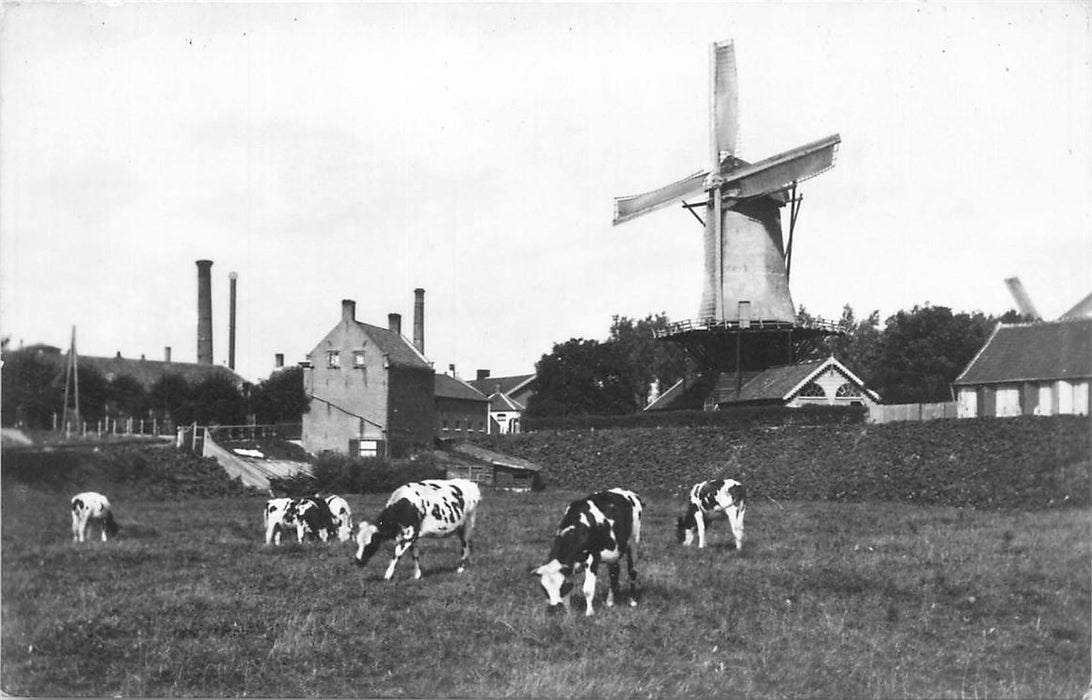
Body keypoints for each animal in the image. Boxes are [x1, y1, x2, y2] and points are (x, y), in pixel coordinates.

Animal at [353, 478, 482, 580]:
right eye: (358, 543)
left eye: (371, 544)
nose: (357, 561)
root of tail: (470, 483)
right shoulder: (412, 536)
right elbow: (415, 554)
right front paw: (417, 575)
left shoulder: (410, 534)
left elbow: (397, 553)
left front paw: (388, 575)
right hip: (460, 528)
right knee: (469, 544)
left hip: (468, 524)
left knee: (464, 546)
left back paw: (460, 569)